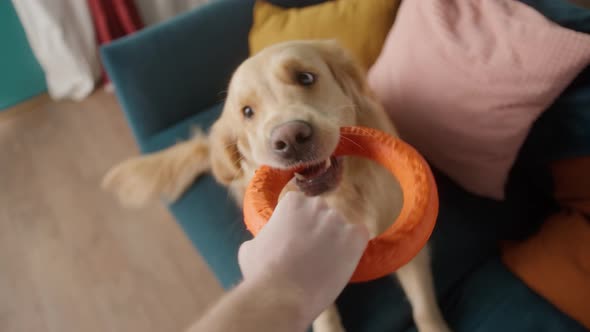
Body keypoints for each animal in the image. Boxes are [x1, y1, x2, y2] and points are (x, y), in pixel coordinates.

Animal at [103, 39, 454, 332]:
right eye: (247, 112)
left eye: (306, 78)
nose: (290, 138)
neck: (339, 198)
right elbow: (321, 313)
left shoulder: (408, 248)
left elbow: (424, 307)